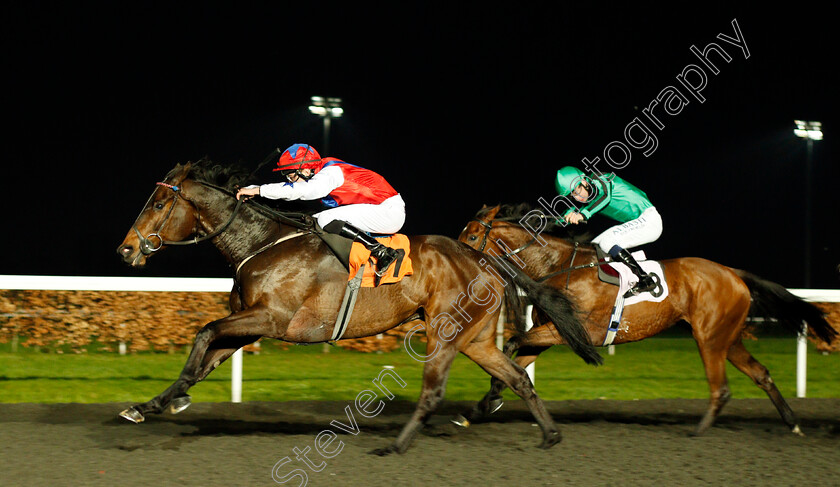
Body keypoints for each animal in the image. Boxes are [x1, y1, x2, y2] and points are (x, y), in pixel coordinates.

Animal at [116, 162, 604, 456]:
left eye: (159, 203)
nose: (125, 250)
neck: (262, 244)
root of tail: (485, 260)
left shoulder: (270, 319)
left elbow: (203, 332)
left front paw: (167, 401)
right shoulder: (250, 326)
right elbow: (203, 358)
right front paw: (154, 403)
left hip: (445, 331)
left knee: (433, 392)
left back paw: (396, 447)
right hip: (476, 338)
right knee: (519, 377)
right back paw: (550, 434)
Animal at [456, 204, 836, 436]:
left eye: (472, 236)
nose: (458, 260)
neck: (558, 265)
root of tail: (733, 273)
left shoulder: (572, 332)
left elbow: (512, 344)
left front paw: (492, 398)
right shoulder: (550, 330)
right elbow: (518, 359)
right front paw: (479, 408)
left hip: (709, 338)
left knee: (721, 388)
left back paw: (698, 432)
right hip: (727, 337)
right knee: (761, 374)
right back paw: (792, 423)